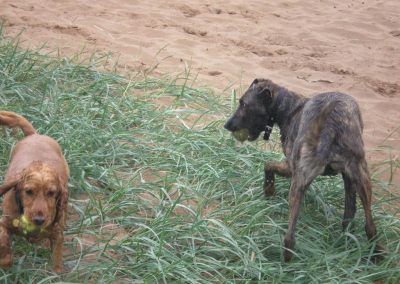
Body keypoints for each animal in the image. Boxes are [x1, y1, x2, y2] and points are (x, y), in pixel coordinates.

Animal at [0, 111, 68, 272]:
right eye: (28, 191)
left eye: (51, 193)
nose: (39, 220)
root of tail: (35, 135)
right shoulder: (4, 222)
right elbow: (5, 246)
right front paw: (5, 260)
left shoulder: (57, 233)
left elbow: (56, 262)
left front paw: (56, 273)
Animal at [225, 77, 382, 262]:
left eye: (243, 104)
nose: (227, 125)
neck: (290, 108)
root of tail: (331, 124)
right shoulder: (348, 178)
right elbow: (349, 212)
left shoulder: (290, 167)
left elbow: (267, 165)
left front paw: (269, 189)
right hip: (361, 177)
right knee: (370, 226)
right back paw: (376, 254)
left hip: (298, 183)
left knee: (289, 237)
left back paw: (286, 263)